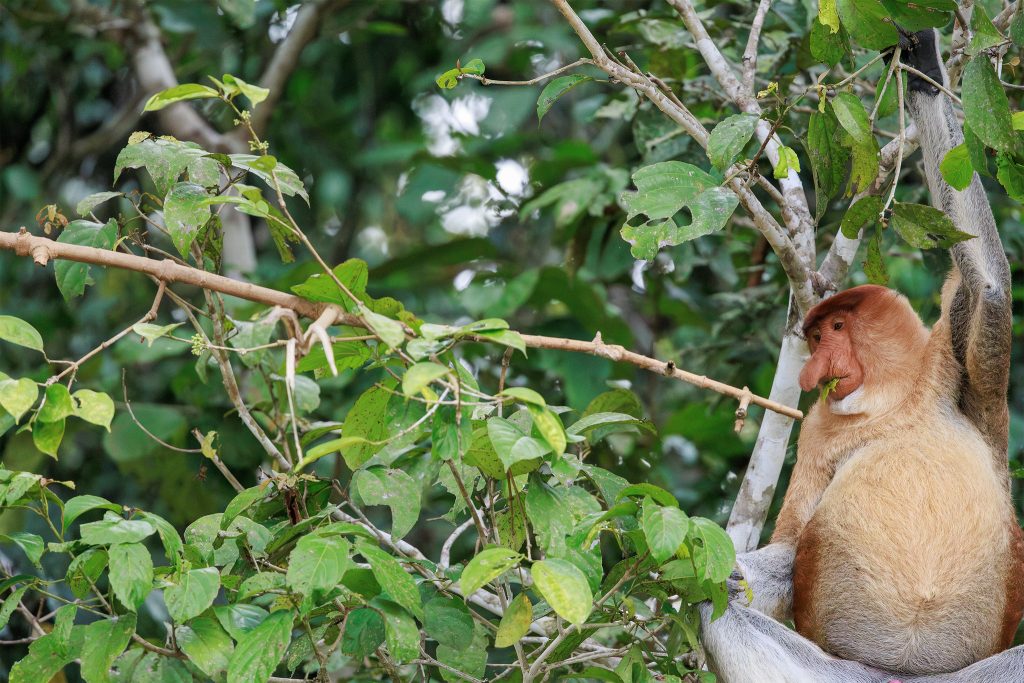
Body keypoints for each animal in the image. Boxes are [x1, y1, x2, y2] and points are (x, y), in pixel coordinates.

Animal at [699, 28, 1024, 682]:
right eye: (815, 337)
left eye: (836, 327)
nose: (815, 369)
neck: (890, 401)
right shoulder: (819, 431)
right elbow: (787, 546)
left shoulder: (952, 367)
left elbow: (988, 288)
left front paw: (924, 67)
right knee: (717, 610)